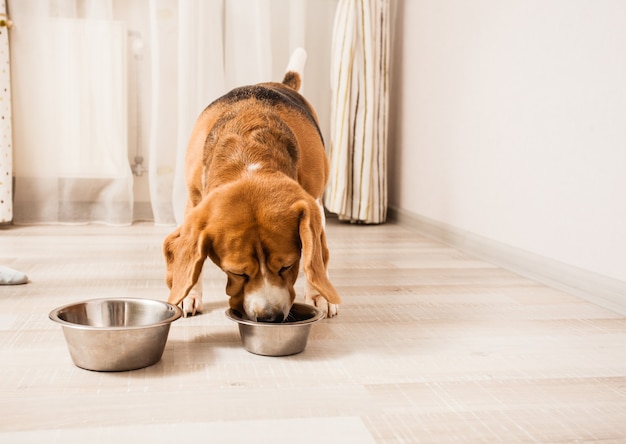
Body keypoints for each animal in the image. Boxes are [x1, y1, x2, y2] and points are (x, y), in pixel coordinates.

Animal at [163, 48, 338, 320]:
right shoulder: (194, 201)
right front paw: (189, 294)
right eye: (238, 272)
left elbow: (314, 256)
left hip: (318, 198)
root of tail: (279, 84)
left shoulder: (312, 203)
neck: (249, 153)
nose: (269, 317)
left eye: (288, 265)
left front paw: (319, 294)